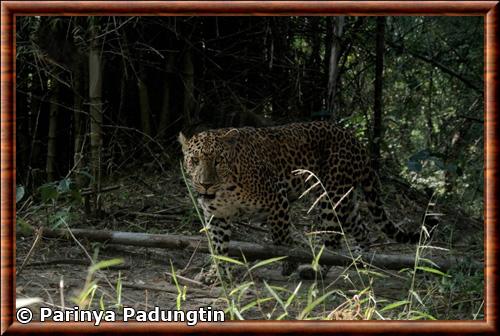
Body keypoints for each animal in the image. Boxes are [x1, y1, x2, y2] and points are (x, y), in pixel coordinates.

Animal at [180, 121, 422, 280]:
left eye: (218, 161)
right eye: (194, 160)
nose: (205, 184)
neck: (224, 188)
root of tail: (357, 141)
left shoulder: (277, 198)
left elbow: (281, 239)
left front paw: (289, 261)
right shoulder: (217, 215)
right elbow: (218, 247)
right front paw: (217, 273)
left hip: (331, 197)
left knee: (333, 238)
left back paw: (317, 270)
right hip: (345, 200)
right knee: (361, 227)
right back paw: (361, 261)